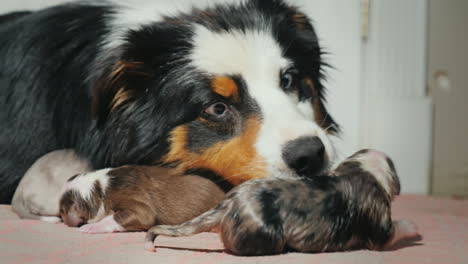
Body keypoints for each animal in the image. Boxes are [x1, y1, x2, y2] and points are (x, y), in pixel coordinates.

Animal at [144, 151, 418, 256]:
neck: (359, 169)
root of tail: (226, 206)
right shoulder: (380, 224)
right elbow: (395, 229)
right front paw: (414, 228)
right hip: (268, 236)